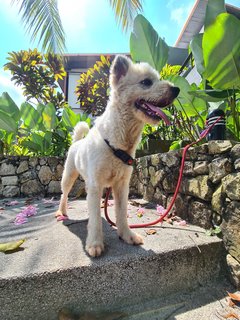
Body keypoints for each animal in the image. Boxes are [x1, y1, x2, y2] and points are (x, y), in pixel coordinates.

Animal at [56, 54, 179, 255]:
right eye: (146, 82)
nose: (176, 89)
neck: (117, 143)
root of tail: (76, 142)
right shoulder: (96, 186)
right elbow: (95, 219)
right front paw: (95, 243)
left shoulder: (121, 186)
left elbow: (121, 214)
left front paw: (127, 235)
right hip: (69, 176)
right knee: (64, 194)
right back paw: (62, 211)